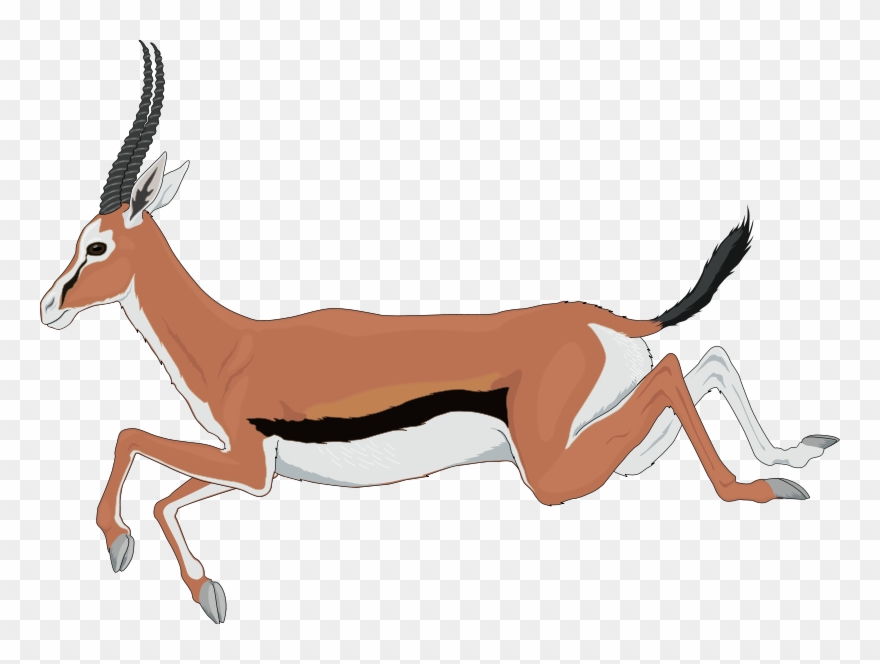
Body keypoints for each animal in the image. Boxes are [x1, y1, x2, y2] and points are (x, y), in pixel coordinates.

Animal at [40, 42, 839, 624]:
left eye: (97, 246)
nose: (49, 306)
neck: (234, 348)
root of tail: (608, 319)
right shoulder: (253, 470)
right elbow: (163, 489)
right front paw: (196, 585)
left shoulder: (245, 461)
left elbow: (132, 446)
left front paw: (133, 553)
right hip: (618, 451)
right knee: (702, 361)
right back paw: (796, 454)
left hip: (555, 474)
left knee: (679, 370)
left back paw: (764, 489)